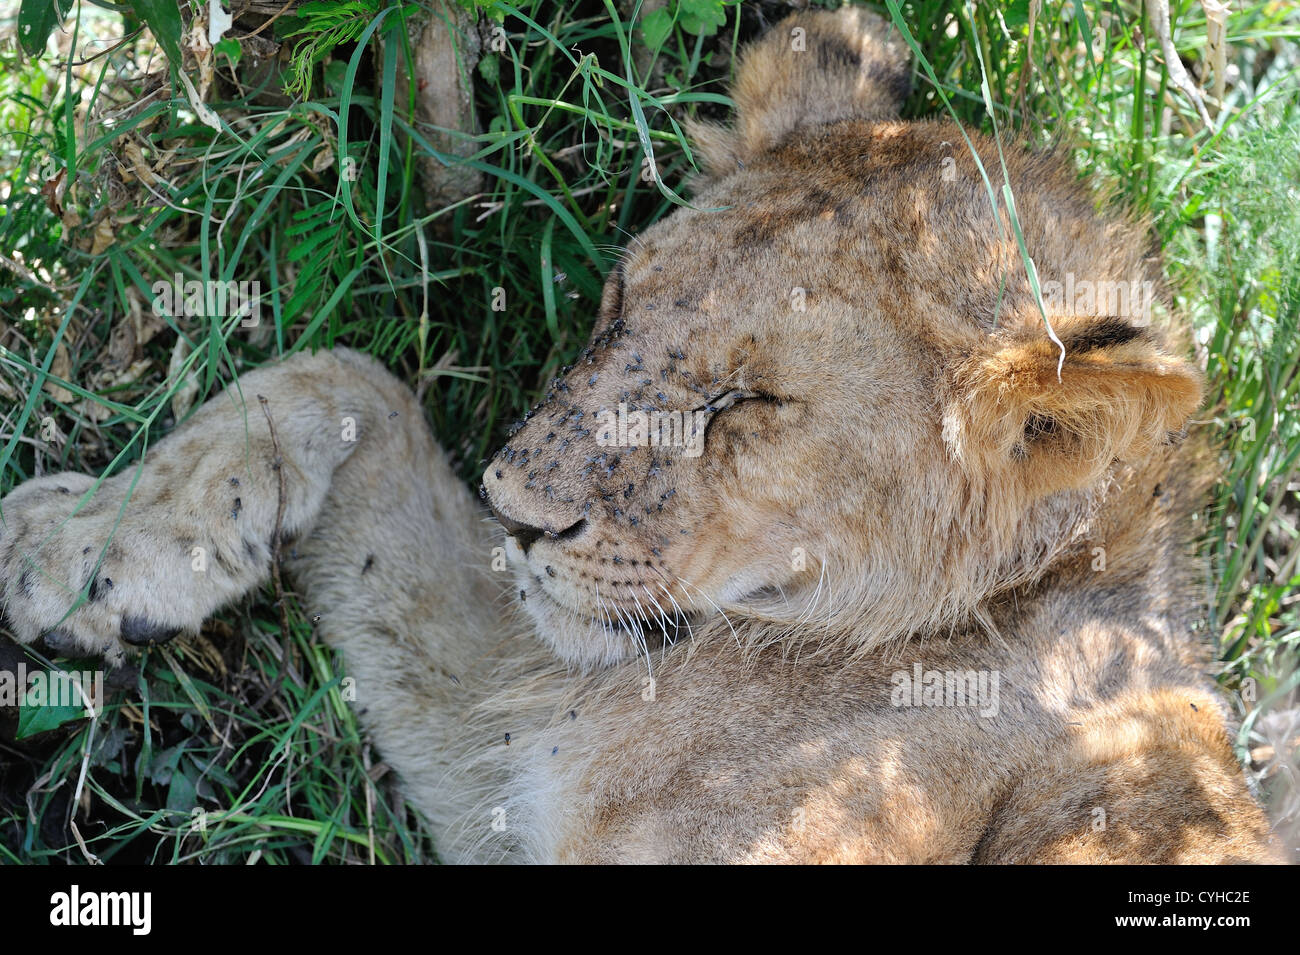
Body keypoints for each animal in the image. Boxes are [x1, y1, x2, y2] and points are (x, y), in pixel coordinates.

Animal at [0, 7, 1280, 863]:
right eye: (620, 299)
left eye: (749, 405)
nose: (516, 513)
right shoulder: (519, 764)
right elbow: (346, 379)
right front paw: (82, 550)